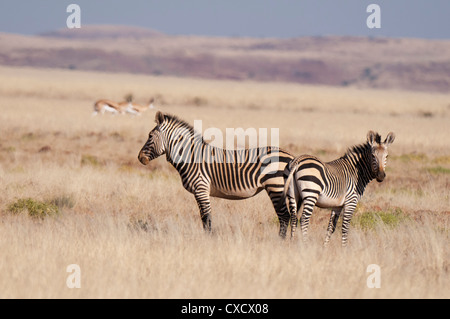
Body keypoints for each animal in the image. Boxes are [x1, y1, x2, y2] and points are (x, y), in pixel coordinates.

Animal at [137, 112, 294, 238]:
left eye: (150, 136)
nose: (139, 158)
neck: (191, 158)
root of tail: (290, 156)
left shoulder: (201, 189)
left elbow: (206, 217)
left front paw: (207, 239)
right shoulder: (201, 191)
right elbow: (204, 217)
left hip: (275, 187)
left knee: (284, 215)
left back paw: (281, 240)